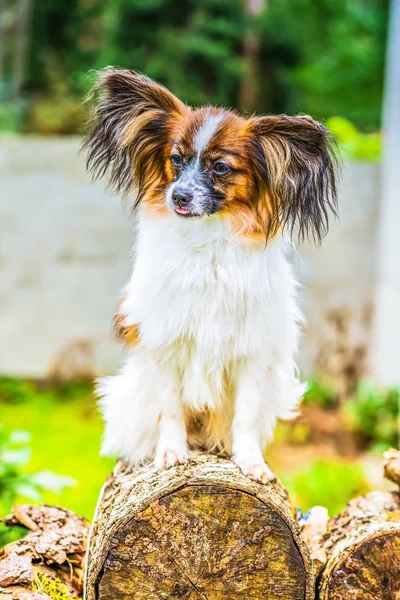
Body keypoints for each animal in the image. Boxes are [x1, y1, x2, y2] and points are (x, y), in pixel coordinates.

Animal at [83, 69, 338, 482]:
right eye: (175, 159)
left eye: (220, 167)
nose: (179, 197)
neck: (208, 242)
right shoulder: (167, 345)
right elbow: (170, 409)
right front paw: (171, 452)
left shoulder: (251, 352)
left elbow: (246, 416)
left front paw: (250, 461)